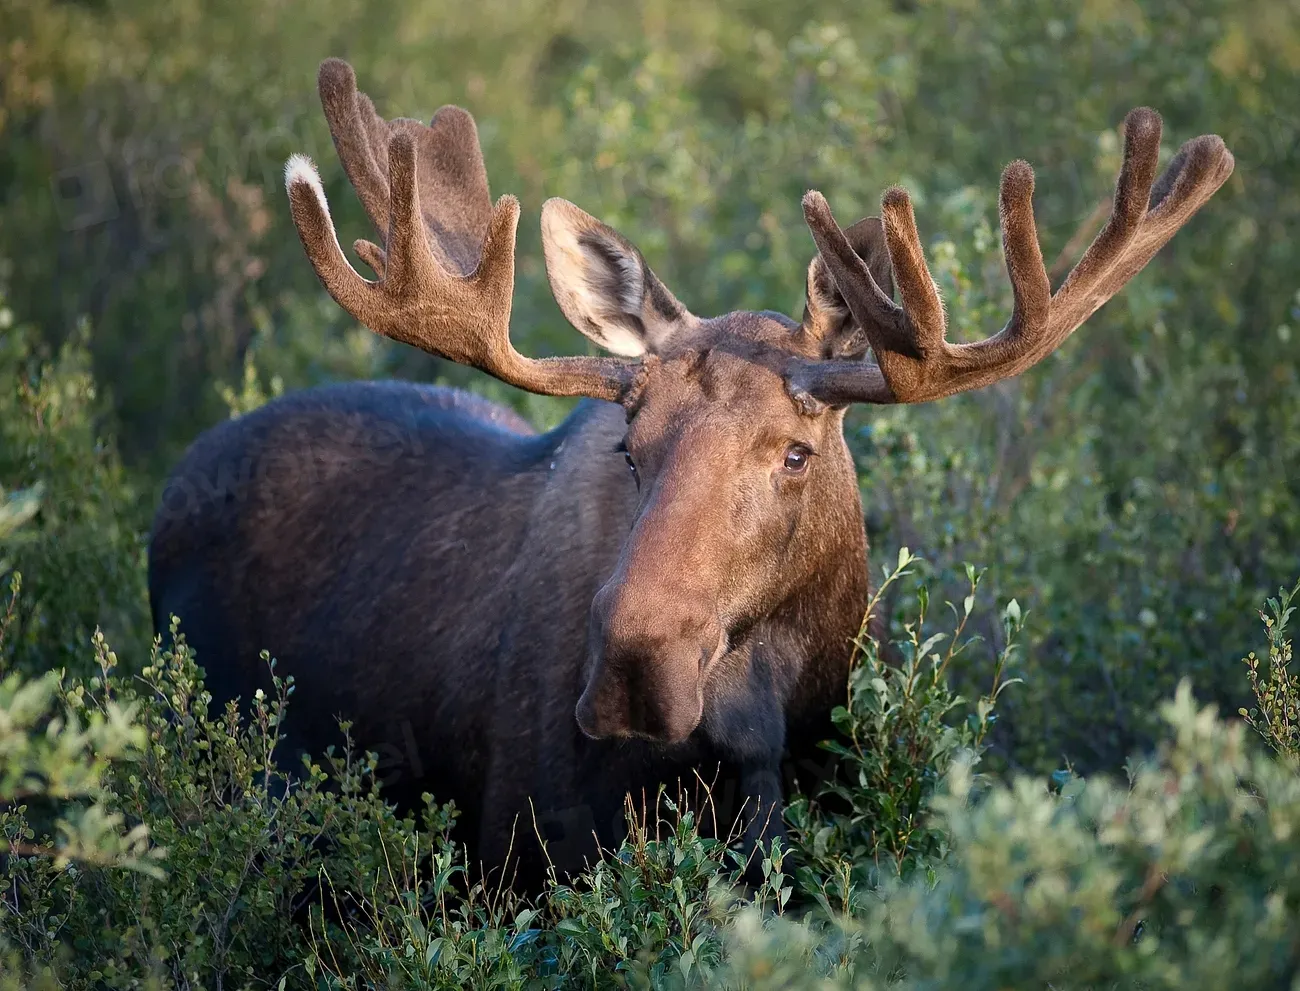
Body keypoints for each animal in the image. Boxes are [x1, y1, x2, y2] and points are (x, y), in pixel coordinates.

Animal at [147, 57, 1233, 891]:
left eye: (796, 450)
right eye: (628, 446)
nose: (636, 665)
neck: (755, 742)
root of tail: (179, 474)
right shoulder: (518, 864)